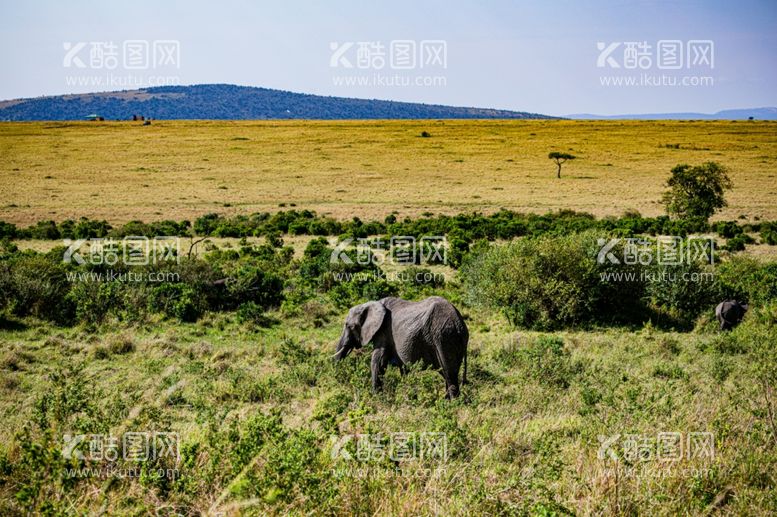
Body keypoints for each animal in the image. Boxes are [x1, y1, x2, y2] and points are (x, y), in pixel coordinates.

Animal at [332, 296, 466, 398]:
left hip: (444, 337)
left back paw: (452, 405)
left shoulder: (383, 332)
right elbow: (403, 369)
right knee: (447, 372)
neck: (370, 304)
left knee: (449, 373)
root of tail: (459, 323)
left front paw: (377, 398)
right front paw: (410, 397)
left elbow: (378, 361)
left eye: (348, 326)